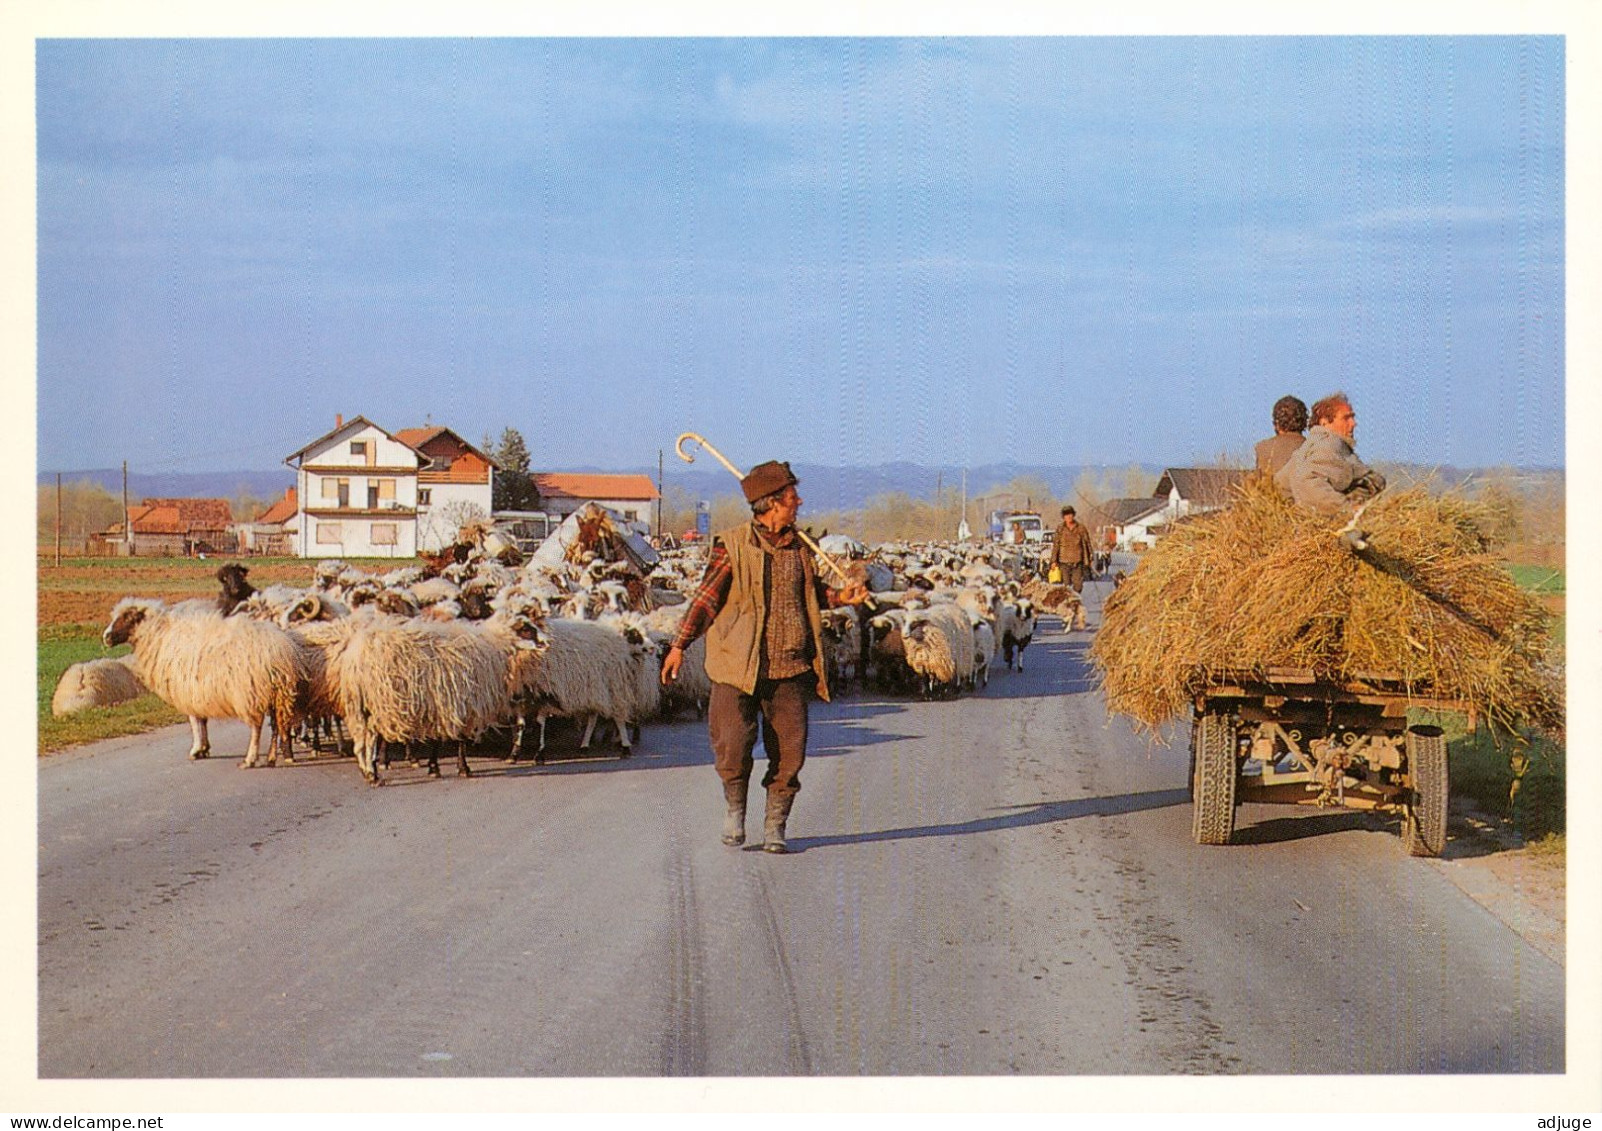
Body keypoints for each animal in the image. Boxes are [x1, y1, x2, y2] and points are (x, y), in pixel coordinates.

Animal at [107, 589, 309, 765]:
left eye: (127, 617)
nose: (106, 637)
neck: (159, 636)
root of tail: (283, 651)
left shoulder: (188, 689)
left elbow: (195, 721)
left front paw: (197, 749)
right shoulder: (197, 691)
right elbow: (202, 720)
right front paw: (204, 748)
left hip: (251, 691)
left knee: (257, 726)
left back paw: (251, 758)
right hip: (277, 693)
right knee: (278, 724)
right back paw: (282, 755)